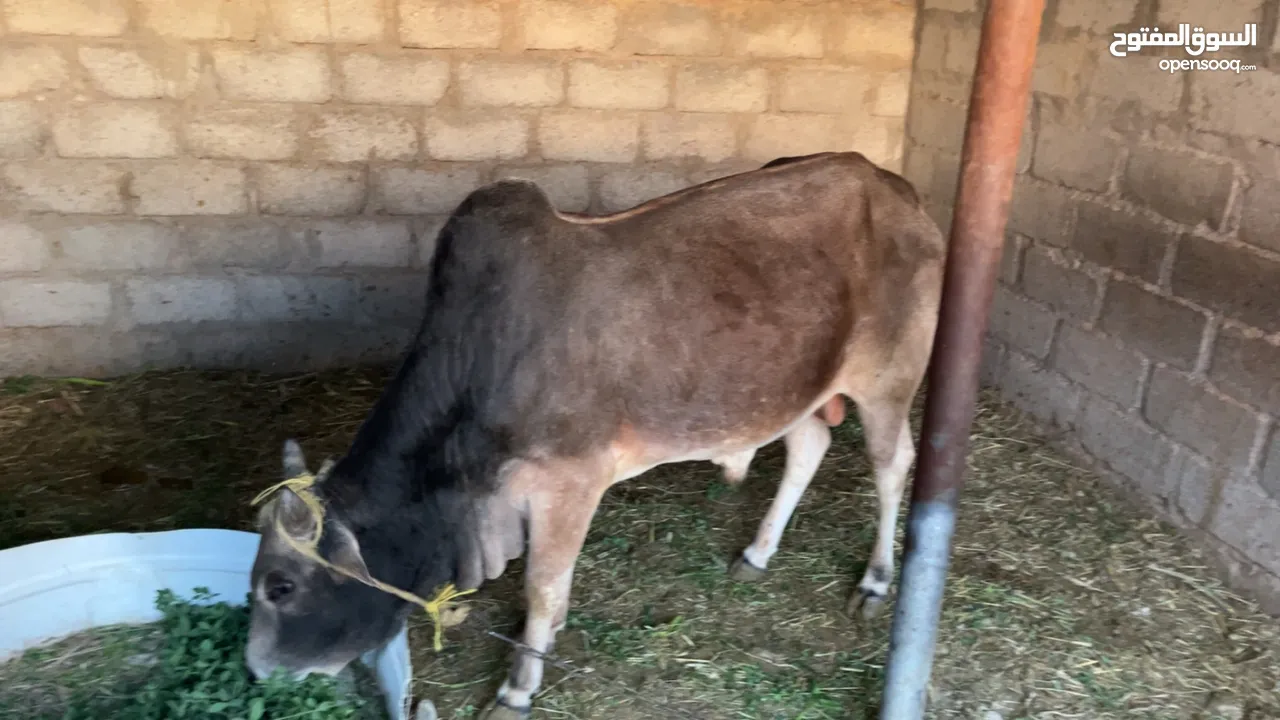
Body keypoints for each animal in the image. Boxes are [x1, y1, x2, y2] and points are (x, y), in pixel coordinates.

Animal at [244, 148, 947, 712]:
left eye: (281, 586)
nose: (255, 673)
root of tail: (893, 186)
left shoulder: (569, 484)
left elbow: (542, 587)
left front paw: (517, 689)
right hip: (794, 392)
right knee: (809, 447)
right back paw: (756, 553)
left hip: (888, 380)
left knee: (892, 465)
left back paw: (875, 581)